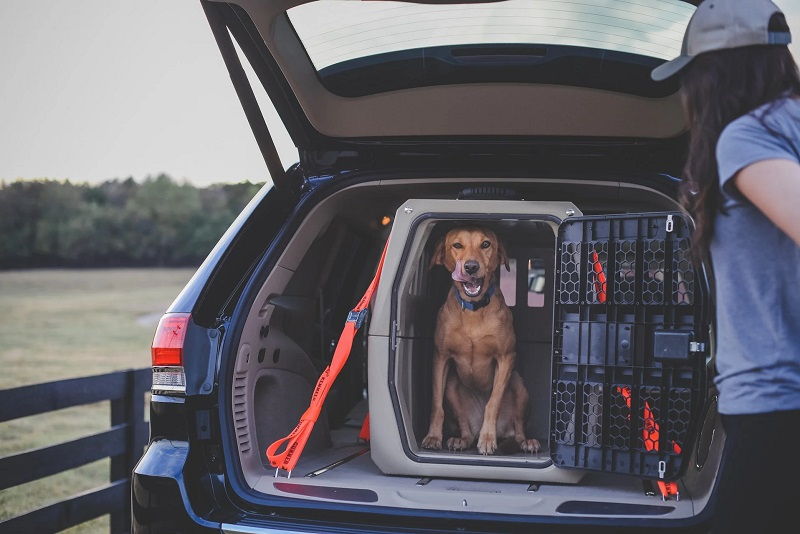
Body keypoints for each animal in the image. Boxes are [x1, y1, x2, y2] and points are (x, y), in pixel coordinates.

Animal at [422, 226, 540, 456]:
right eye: (457, 245)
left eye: (485, 244)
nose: (470, 267)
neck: (474, 310)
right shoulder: (440, 357)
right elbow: (436, 404)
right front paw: (433, 436)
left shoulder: (506, 358)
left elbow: (492, 403)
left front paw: (487, 439)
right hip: (452, 388)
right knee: (466, 428)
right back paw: (461, 440)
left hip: (519, 386)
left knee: (518, 430)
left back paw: (526, 442)